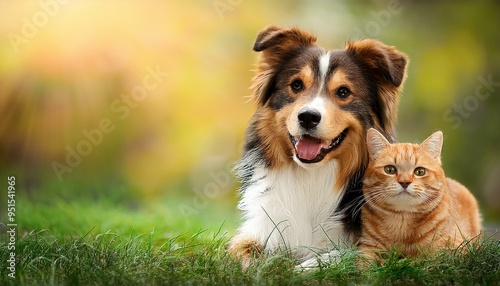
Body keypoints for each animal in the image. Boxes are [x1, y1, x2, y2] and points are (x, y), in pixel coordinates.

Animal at [229, 26, 408, 268]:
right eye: (296, 85)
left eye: (343, 92)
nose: (308, 117)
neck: (313, 175)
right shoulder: (262, 229)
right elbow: (242, 252)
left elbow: (329, 258)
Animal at [360, 129, 480, 262]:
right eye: (390, 170)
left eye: (420, 171)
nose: (405, 182)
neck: (402, 221)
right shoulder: (367, 247)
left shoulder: (454, 249)